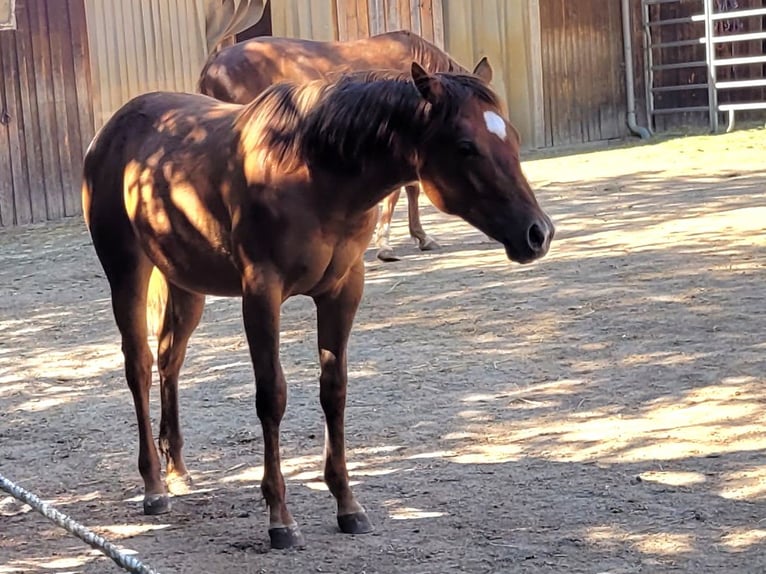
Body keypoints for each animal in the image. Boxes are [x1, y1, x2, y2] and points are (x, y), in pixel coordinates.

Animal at [82, 63, 554, 550]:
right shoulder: (261, 294)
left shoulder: (342, 292)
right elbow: (272, 396)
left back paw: (176, 470)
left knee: (169, 361)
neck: (313, 172)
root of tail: (112, 130)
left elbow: (335, 392)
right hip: (127, 273)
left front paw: (348, 505)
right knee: (139, 368)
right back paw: (154, 486)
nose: (538, 233)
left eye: (512, 138)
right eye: (465, 146)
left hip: (185, 283)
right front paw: (280, 518)